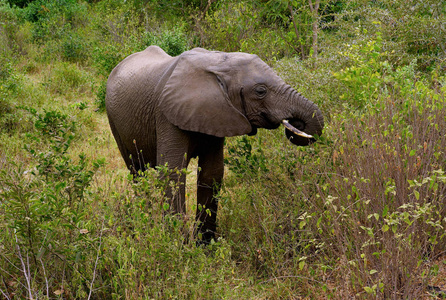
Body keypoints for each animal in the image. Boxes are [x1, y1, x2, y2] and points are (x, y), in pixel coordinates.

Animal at [107, 46, 324, 244]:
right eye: (261, 91)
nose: (296, 124)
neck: (218, 63)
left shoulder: (217, 114)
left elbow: (212, 173)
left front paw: (205, 245)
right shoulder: (166, 115)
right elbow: (173, 172)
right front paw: (177, 244)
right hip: (114, 122)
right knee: (136, 171)